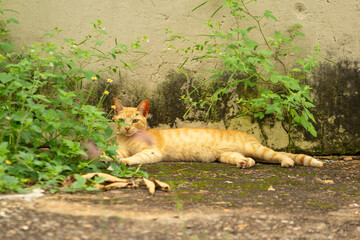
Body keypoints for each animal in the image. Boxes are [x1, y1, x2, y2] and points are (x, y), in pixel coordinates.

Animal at [112, 98, 324, 169]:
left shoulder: (152, 151)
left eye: (135, 121)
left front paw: (125, 162)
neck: (128, 139)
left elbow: (136, 157)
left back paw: (286, 161)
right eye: (121, 121)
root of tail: (250, 136)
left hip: (258, 149)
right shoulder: (120, 148)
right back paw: (244, 163)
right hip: (227, 155)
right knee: (250, 160)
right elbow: (114, 153)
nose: (127, 128)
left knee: (277, 154)